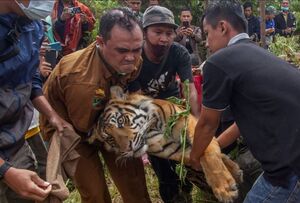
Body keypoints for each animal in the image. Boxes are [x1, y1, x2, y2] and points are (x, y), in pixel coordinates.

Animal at [89, 86, 244, 203]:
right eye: (110, 139)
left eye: (121, 121)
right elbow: (200, 155)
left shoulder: (189, 123)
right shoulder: (176, 150)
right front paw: (233, 174)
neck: (151, 131)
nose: (128, 148)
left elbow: (207, 152)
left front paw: (225, 188)